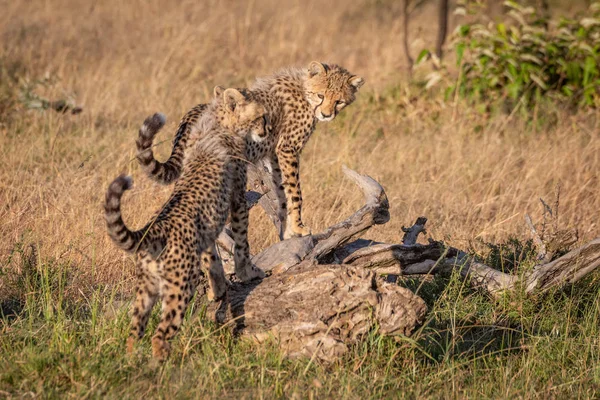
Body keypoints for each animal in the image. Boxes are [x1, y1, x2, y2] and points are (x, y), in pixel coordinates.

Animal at [105, 89, 270, 360]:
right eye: (261, 116)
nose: (267, 128)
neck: (217, 122)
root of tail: (154, 228)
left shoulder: (207, 228)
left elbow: (212, 259)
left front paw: (218, 289)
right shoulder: (237, 198)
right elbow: (241, 244)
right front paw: (250, 273)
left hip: (146, 288)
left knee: (134, 329)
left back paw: (129, 362)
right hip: (180, 285)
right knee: (160, 335)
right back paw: (164, 364)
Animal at [136, 61, 364, 239]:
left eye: (339, 101)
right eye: (320, 95)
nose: (326, 115)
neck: (304, 91)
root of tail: (193, 112)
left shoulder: (274, 154)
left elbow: (281, 191)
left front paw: (287, 230)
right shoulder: (288, 148)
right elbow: (295, 191)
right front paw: (299, 228)